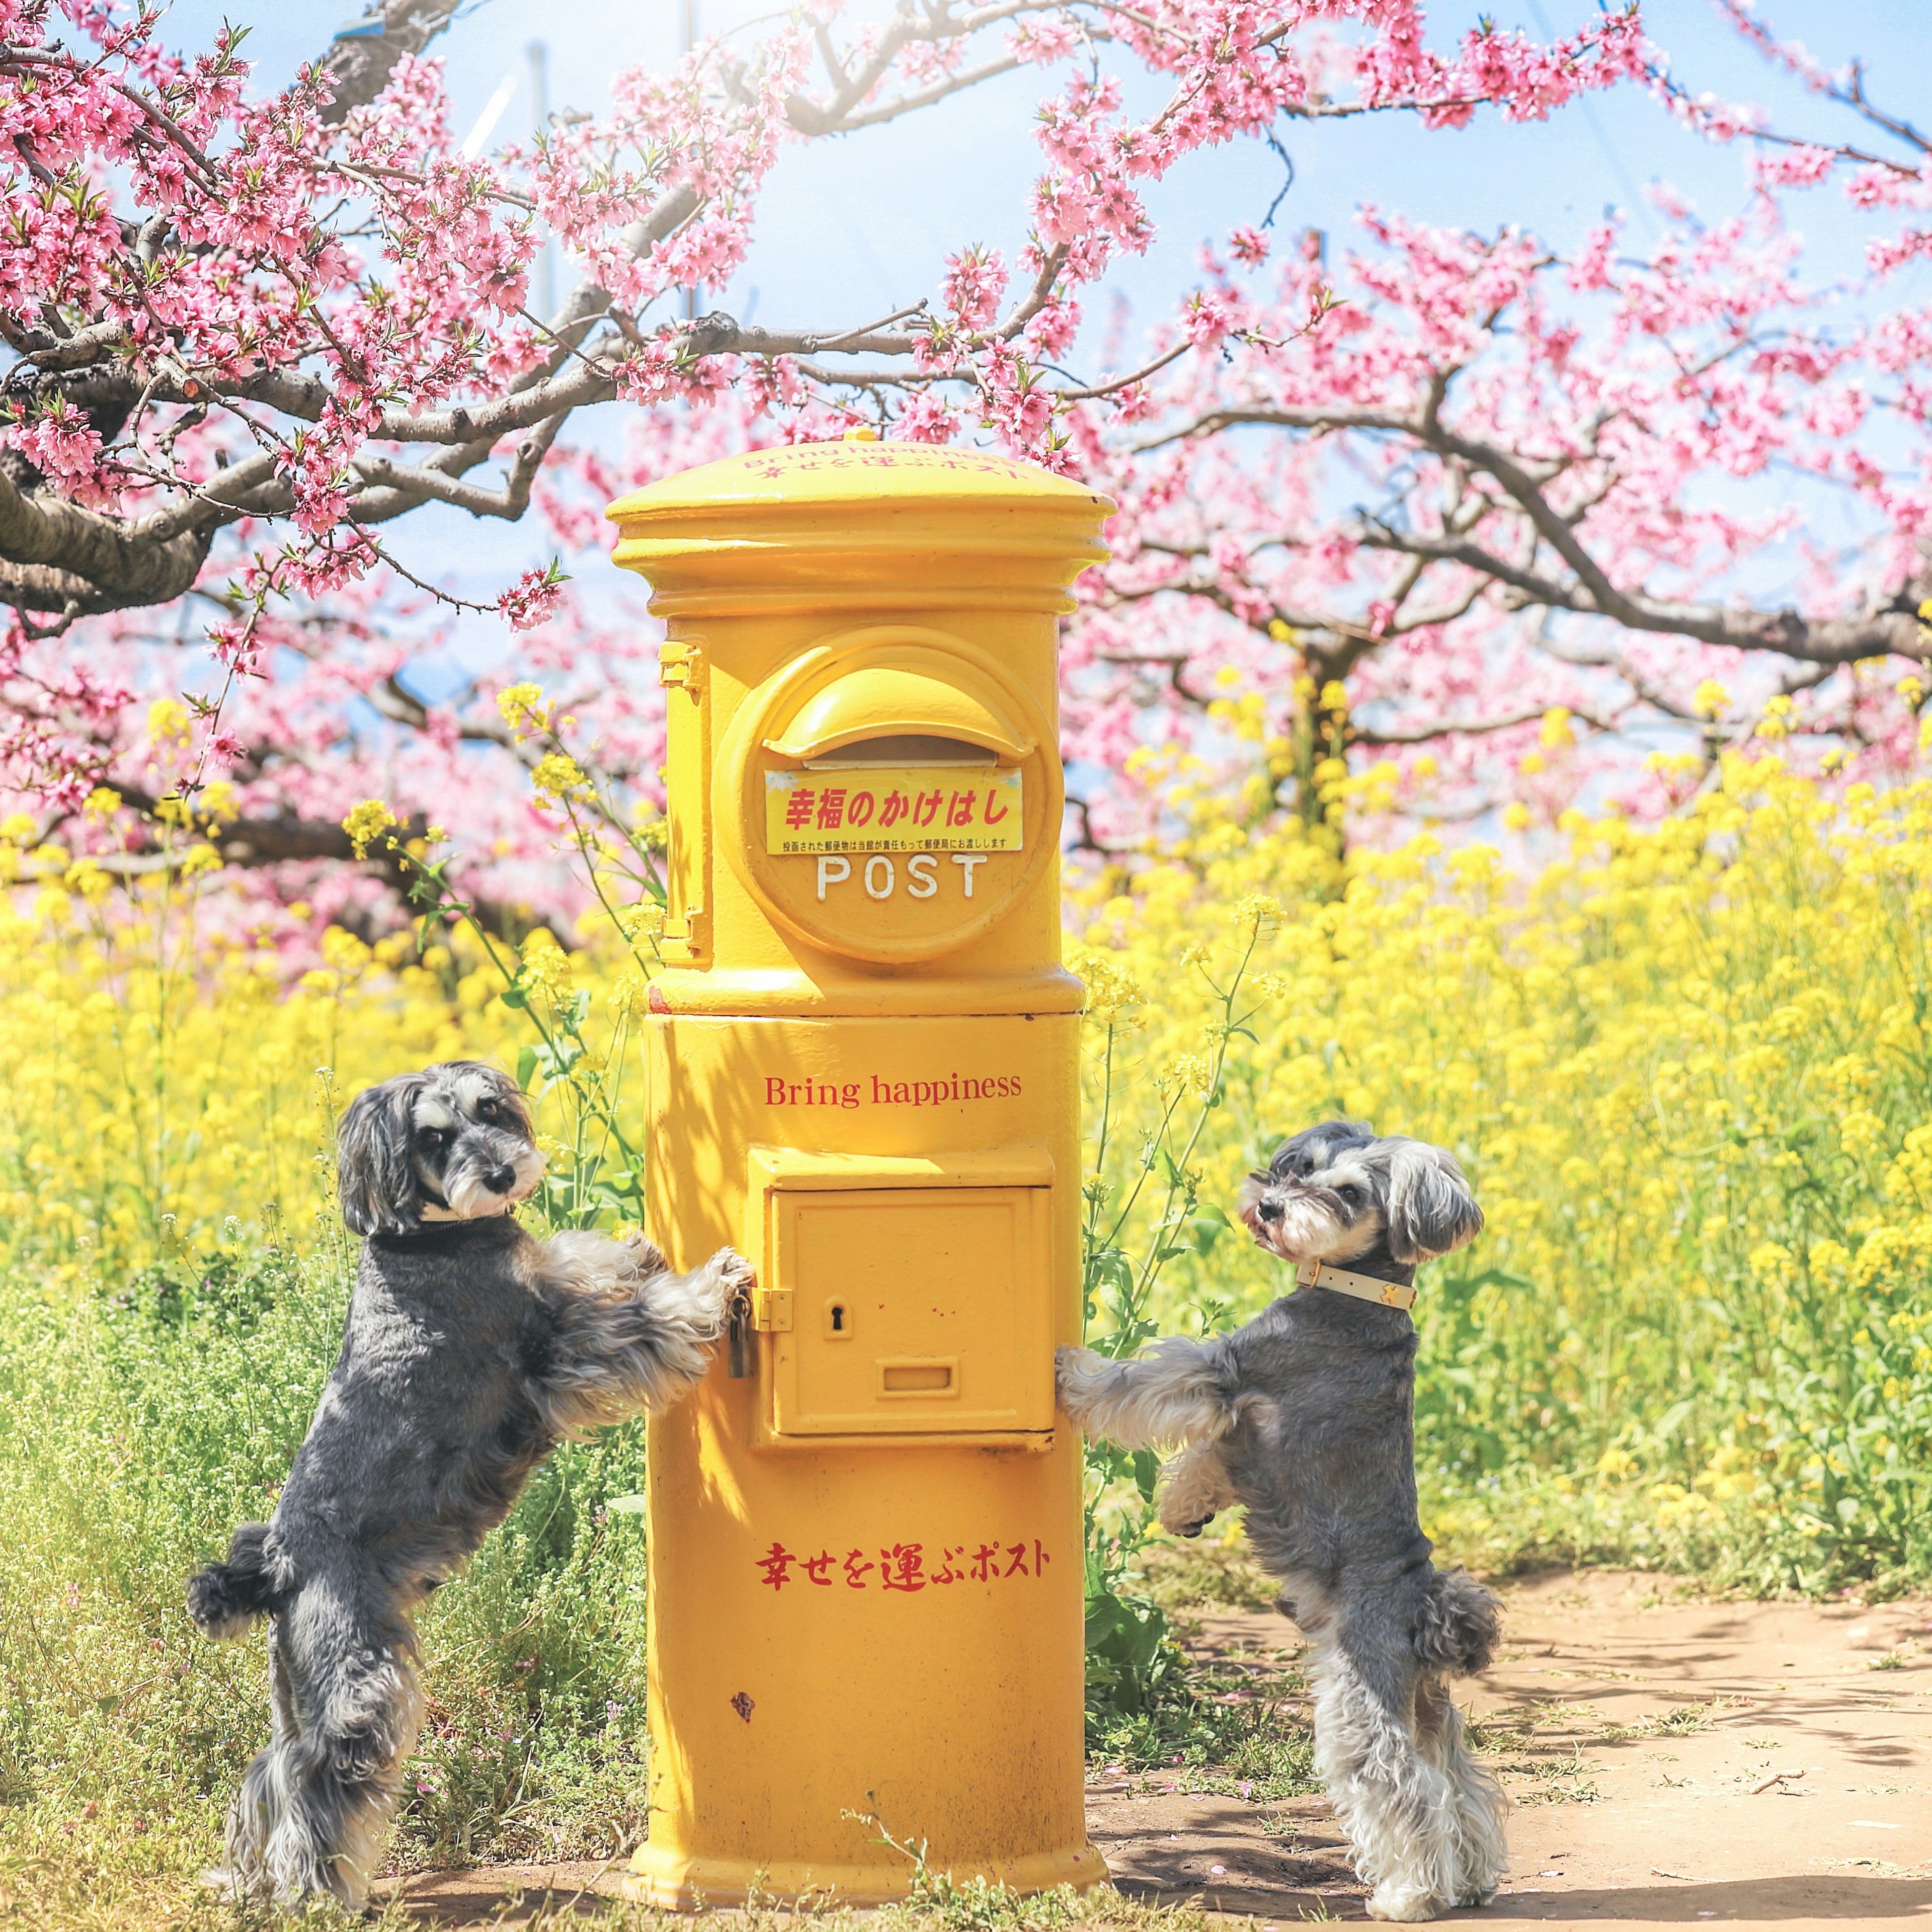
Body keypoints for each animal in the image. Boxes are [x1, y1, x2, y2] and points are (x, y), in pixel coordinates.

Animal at [186, 1066, 746, 1908]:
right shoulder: (559, 1349)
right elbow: (645, 1316)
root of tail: (275, 1566)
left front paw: (631, 1248)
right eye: (432, 1138)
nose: (502, 1175)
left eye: (490, 1110)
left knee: (271, 1775)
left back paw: (249, 1882)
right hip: (359, 1682)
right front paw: (710, 1283)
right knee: (320, 1784)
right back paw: (318, 1895)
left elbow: (568, 1255)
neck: (429, 1237)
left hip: (298, 1688)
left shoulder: (547, 1290)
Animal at [1066, 1120, 1499, 1916]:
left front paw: (1070, 1373)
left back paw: (1411, 1896)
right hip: (1429, 1710)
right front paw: (1183, 1508)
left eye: (1349, 1192)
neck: (1357, 1289)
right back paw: (1478, 1877)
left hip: (1361, 1704)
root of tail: (1426, 1611)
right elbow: (1205, 1459)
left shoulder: (1228, 1369)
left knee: (1403, 1792)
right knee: (1463, 1787)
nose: (1270, 1205)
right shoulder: (1241, 1426)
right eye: (1304, 1167)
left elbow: (1136, 1380)